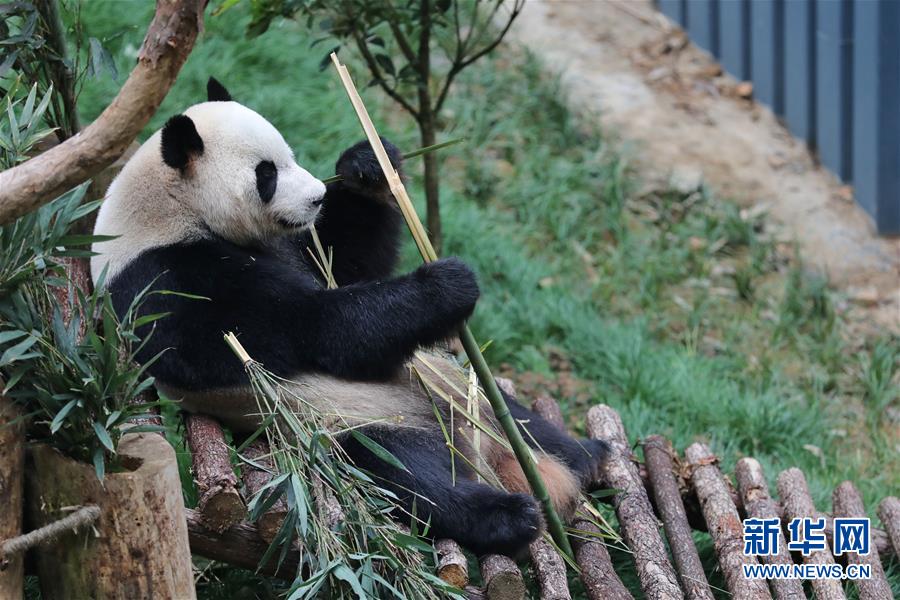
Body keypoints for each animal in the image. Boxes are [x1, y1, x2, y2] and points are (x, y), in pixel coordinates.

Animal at [91, 78, 608, 557]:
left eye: (290, 155)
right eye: (266, 175)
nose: (318, 197)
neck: (169, 208)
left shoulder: (291, 244)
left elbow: (346, 261)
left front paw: (368, 164)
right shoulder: (168, 281)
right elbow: (312, 329)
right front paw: (448, 284)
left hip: (463, 394)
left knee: (520, 420)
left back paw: (589, 456)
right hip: (349, 425)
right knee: (407, 475)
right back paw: (510, 515)